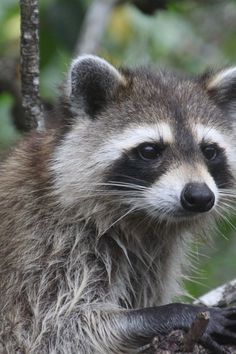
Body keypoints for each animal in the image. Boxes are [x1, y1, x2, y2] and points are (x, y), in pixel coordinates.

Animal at [0, 56, 236, 354]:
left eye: (209, 151)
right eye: (150, 151)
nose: (200, 196)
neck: (141, 220)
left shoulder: (153, 257)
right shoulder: (44, 247)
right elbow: (53, 331)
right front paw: (171, 313)